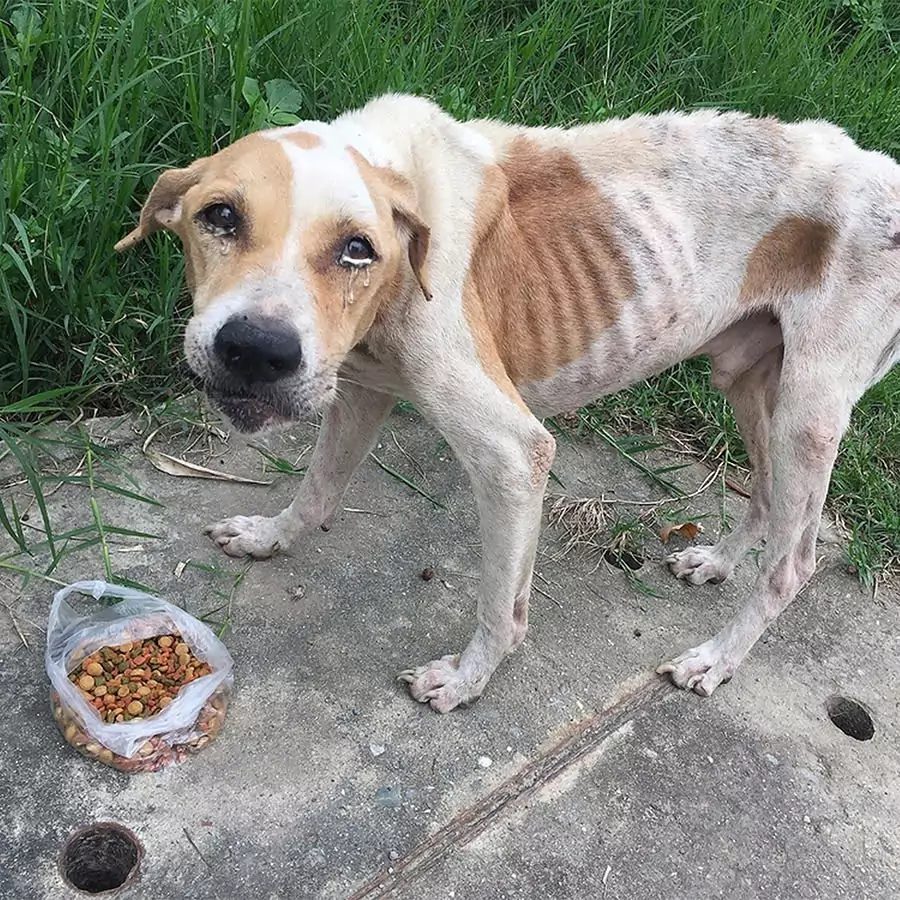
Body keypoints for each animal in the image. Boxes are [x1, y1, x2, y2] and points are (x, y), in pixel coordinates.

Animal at [116, 91, 900, 712]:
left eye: (356, 249)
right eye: (220, 216)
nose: (256, 350)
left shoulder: (513, 454)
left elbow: (502, 605)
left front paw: (468, 681)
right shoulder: (360, 391)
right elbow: (317, 490)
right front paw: (269, 536)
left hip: (808, 413)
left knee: (793, 564)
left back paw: (716, 658)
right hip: (749, 381)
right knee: (764, 496)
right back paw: (717, 564)